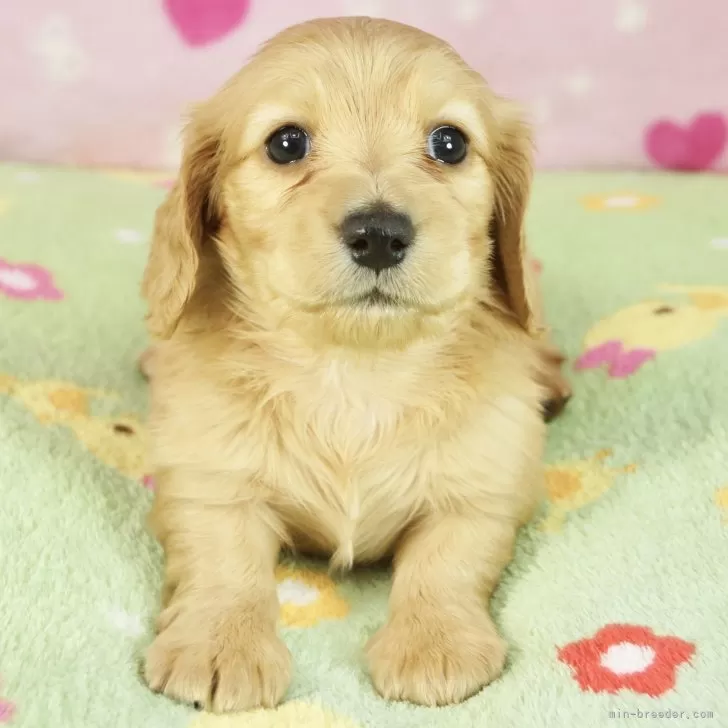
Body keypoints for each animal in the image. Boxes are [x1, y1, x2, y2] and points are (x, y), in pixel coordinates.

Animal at [141, 15, 568, 712]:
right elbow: (224, 559)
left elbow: (448, 559)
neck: (355, 371)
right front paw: (220, 642)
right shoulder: (210, 481)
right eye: (286, 143)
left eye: (450, 143)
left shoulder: (483, 485)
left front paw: (433, 642)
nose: (380, 234)